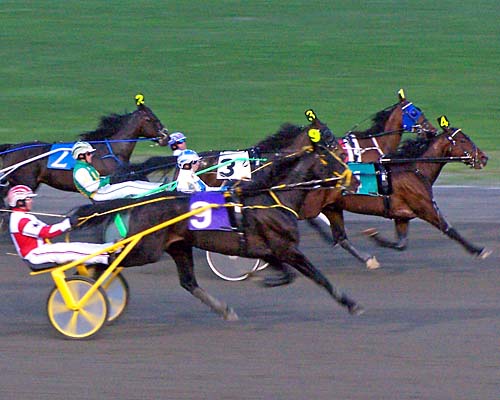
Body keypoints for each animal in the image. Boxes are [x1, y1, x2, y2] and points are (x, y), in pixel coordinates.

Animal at [71, 126, 364, 324]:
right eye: (332, 158)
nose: (356, 180)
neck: (272, 197)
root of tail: (140, 202)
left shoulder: (266, 248)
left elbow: (287, 273)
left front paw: (269, 279)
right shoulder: (286, 248)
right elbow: (318, 276)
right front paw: (350, 303)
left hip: (178, 246)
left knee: (188, 282)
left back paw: (224, 309)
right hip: (145, 249)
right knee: (106, 263)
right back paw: (86, 296)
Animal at [318, 125, 490, 262]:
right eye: (463, 140)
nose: (484, 158)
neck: (415, 169)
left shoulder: (402, 216)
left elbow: (401, 244)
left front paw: (375, 237)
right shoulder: (425, 208)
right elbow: (449, 228)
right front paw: (478, 250)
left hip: (332, 208)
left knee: (342, 239)